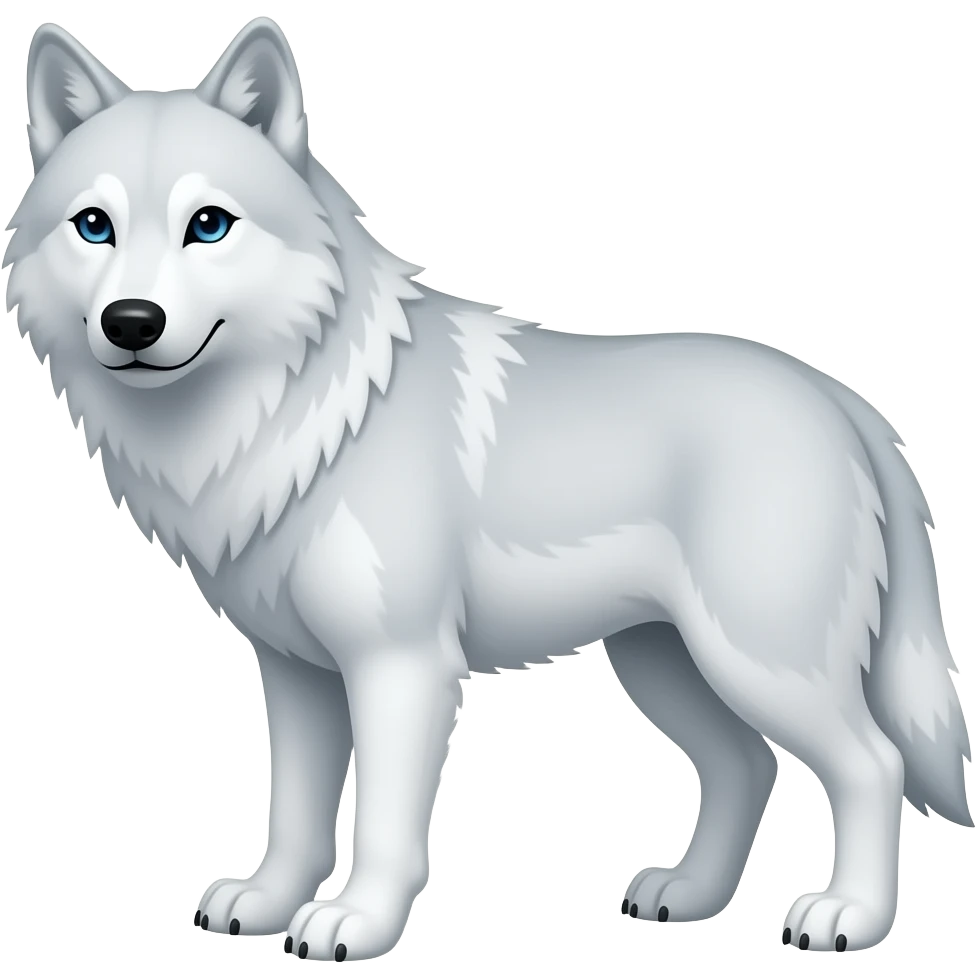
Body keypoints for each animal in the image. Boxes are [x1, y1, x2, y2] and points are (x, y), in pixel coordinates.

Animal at [5, 16, 972, 962]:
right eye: (93, 225)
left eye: (208, 225)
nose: (132, 323)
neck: (300, 414)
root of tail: (843, 400)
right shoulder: (295, 673)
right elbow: (295, 812)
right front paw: (269, 902)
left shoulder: (399, 666)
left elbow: (384, 823)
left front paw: (357, 924)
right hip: (662, 663)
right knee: (747, 764)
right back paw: (688, 896)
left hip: (758, 661)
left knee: (871, 763)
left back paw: (848, 916)